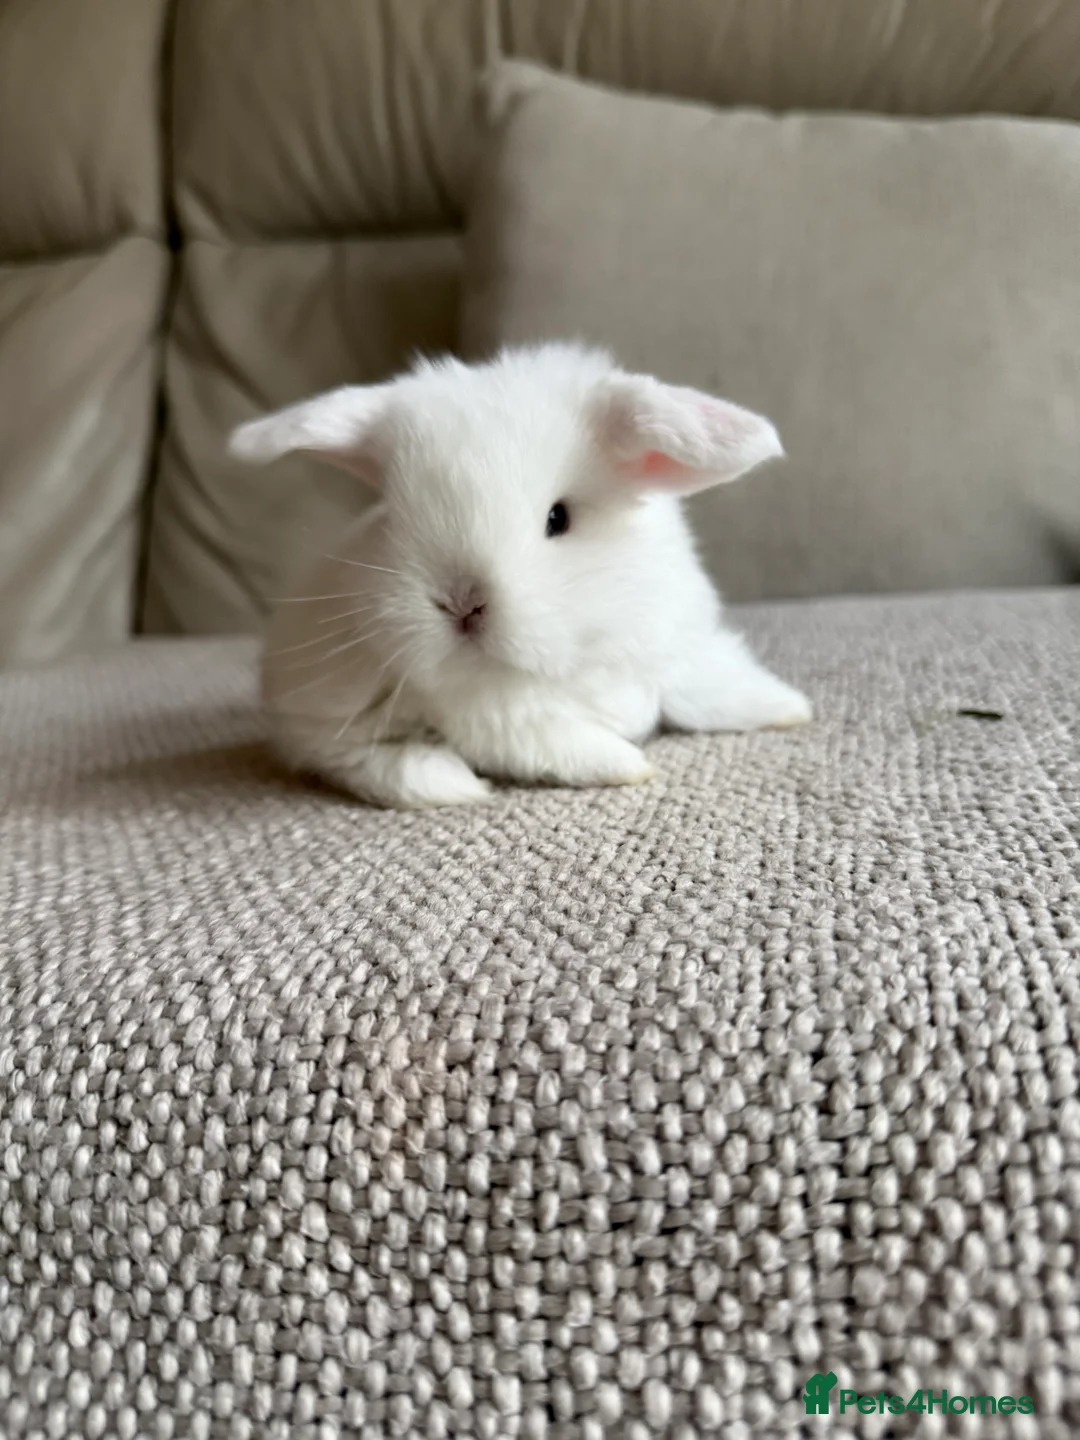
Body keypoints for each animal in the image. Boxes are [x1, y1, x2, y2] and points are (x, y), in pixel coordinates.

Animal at [230, 343, 811, 810]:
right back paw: (448, 783)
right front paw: (629, 765)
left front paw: (788, 708)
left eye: (559, 518)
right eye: (392, 517)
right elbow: (561, 744)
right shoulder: (504, 720)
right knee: (354, 761)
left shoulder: (673, 650)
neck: (576, 650)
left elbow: (708, 689)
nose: (460, 603)